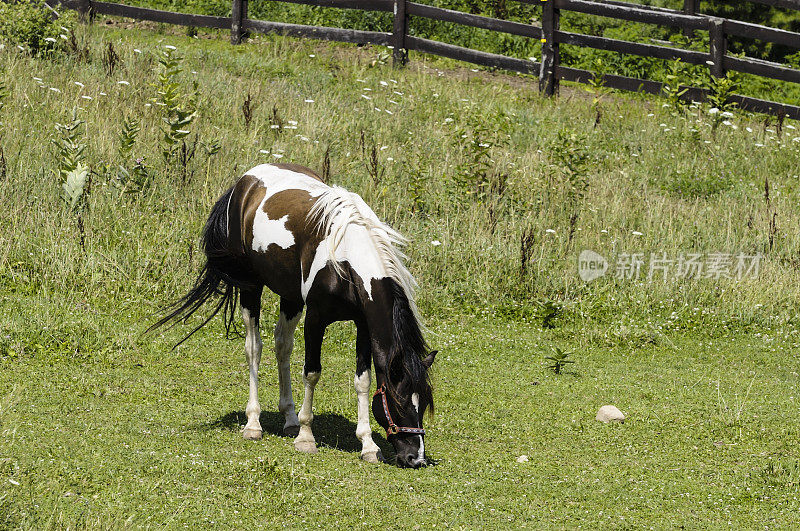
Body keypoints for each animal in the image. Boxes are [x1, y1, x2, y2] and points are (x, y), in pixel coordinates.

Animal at [152, 164, 434, 468]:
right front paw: (306, 438)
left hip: (290, 298)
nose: (415, 458)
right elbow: (312, 373)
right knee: (254, 348)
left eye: (423, 404)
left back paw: (289, 418)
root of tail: (246, 181)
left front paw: (368, 445)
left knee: (282, 346)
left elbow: (363, 381)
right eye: (399, 401)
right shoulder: (316, 319)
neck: (344, 255)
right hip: (251, 288)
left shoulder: (362, 324)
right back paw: (254, 423)